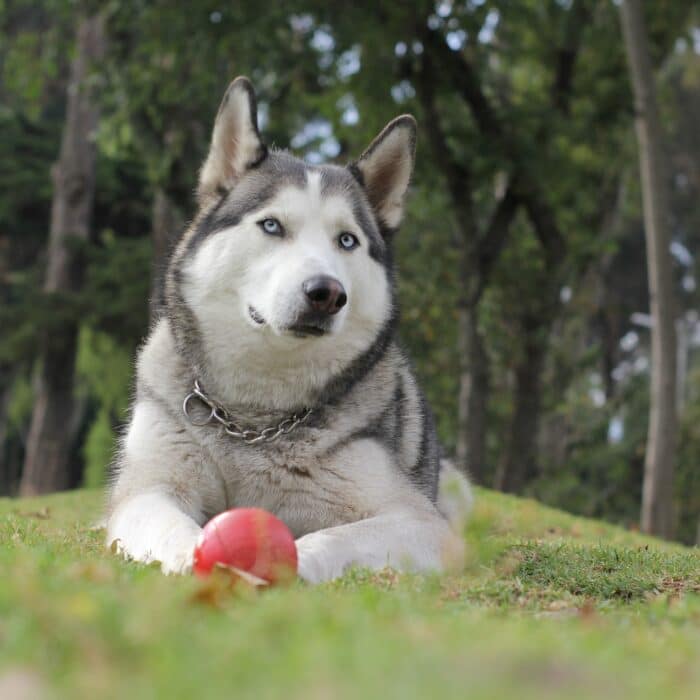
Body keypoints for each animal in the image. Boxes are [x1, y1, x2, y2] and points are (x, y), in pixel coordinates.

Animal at [106, 76, 474, 584]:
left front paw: (286, 565)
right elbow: (171, 526)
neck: (254, 420)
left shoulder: (421, 522)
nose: (326, 293)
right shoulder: (146, 489)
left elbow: (336, 538)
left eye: (347, 240)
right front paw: (198, 561)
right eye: (272, 225)